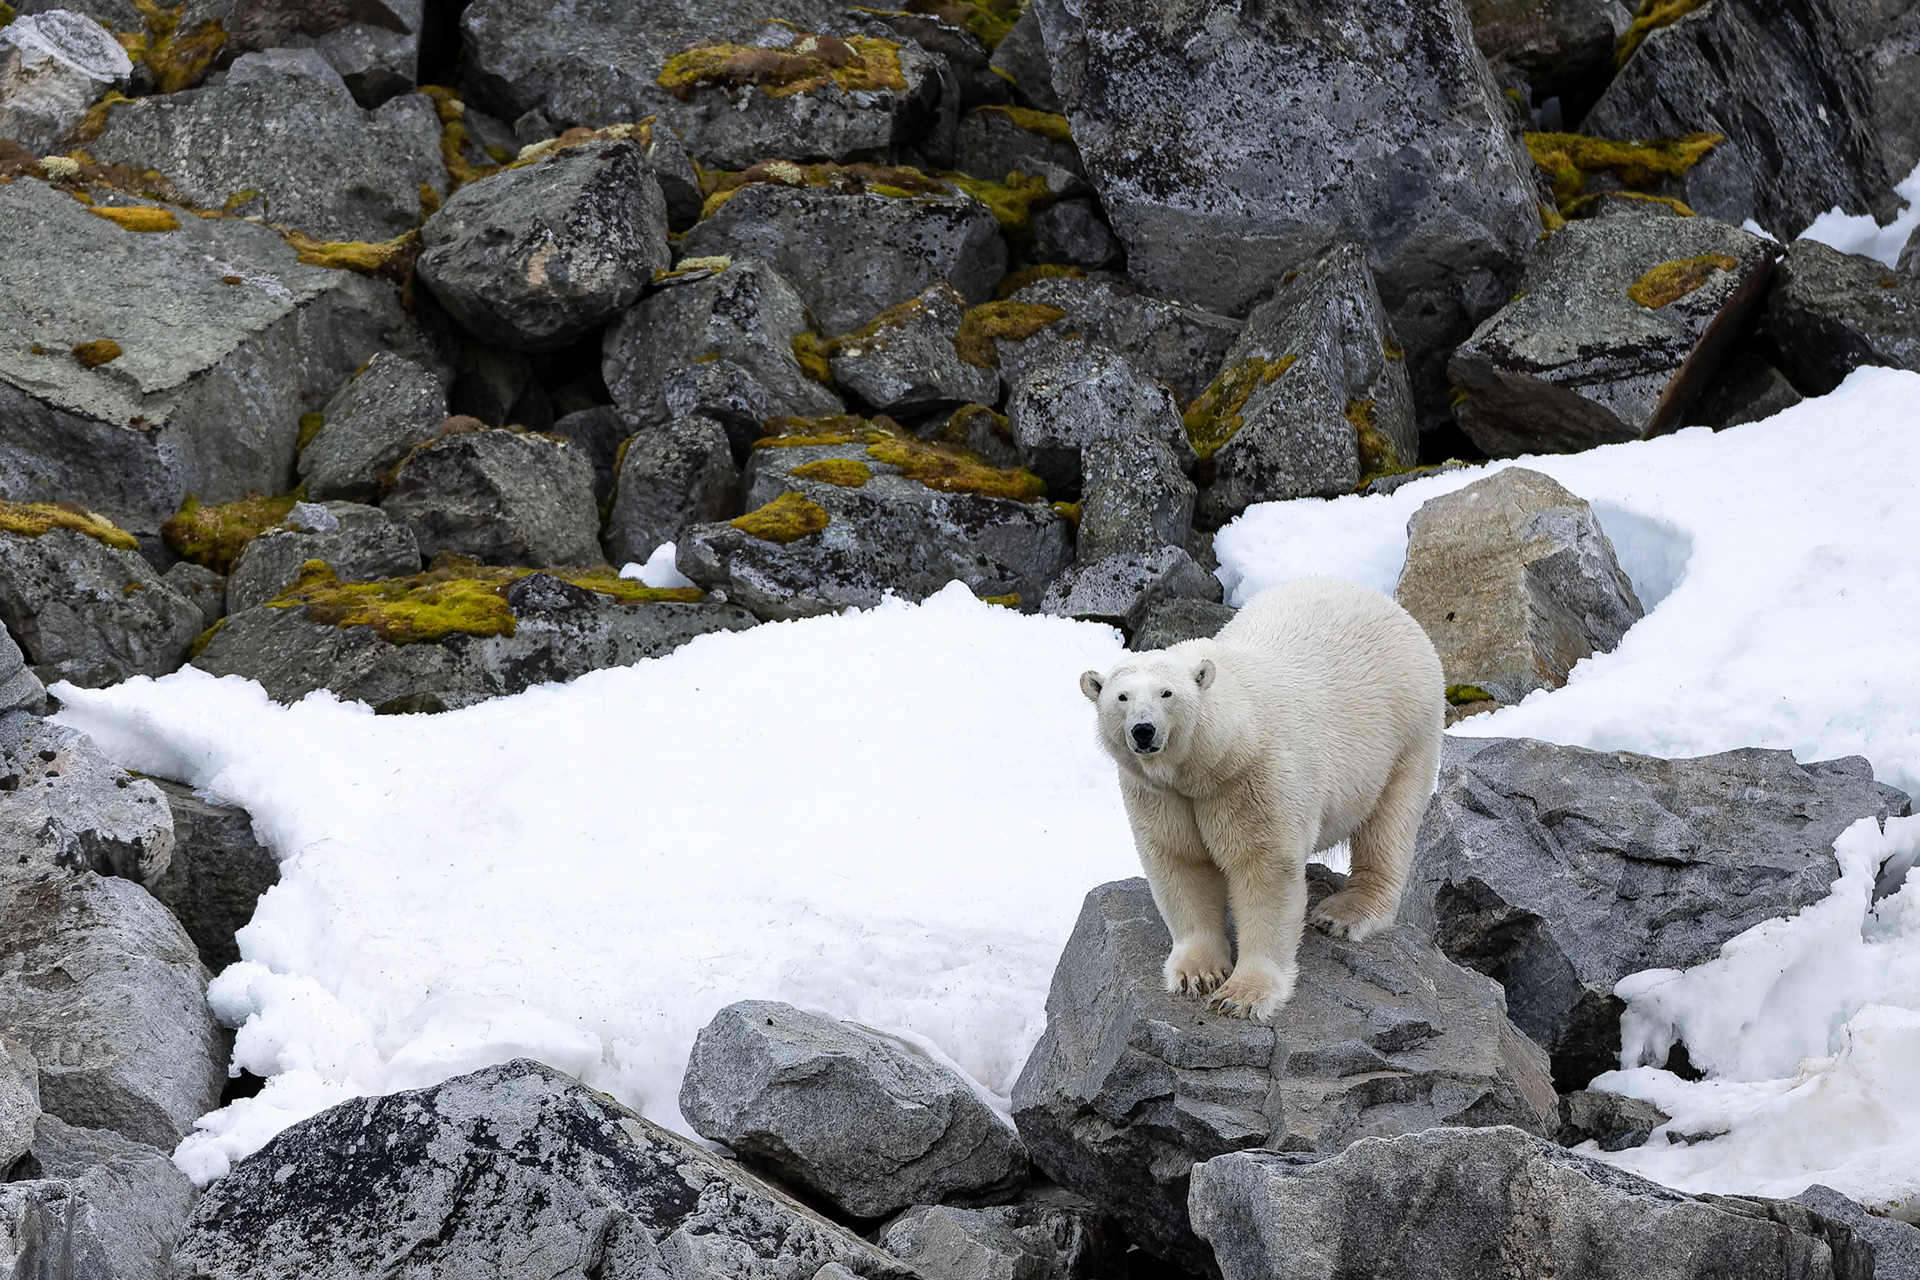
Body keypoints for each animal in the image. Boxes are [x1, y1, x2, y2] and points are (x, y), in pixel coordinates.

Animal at [1080, 576, 1444, 1020]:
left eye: (1167, 693)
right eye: (1121, 697)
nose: (1144, 731)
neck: (1214, 757)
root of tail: (1391, 606)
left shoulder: (1252, 777)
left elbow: (1264, 870)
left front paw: (1242, 995)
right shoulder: (1161, 795)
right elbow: (1180, 861)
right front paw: (1197, 974)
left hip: (1407, 732)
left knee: (1389, 822)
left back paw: (1345, 912)